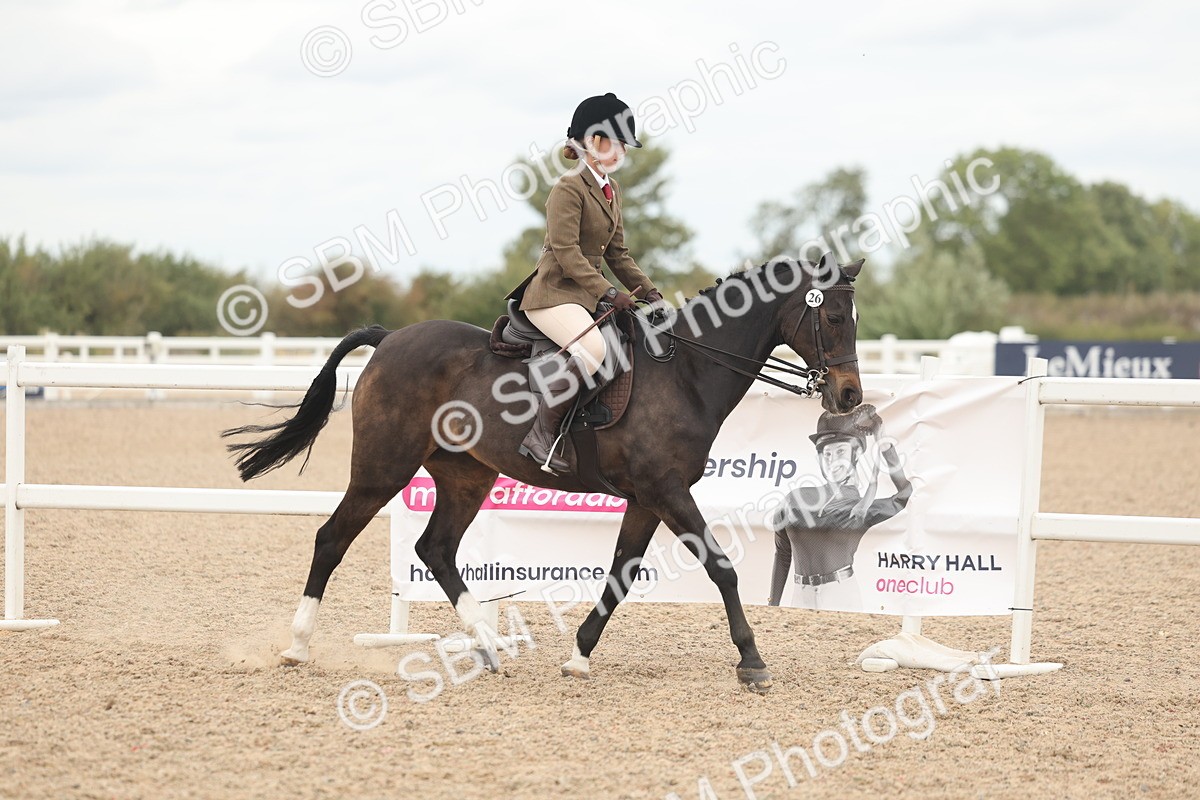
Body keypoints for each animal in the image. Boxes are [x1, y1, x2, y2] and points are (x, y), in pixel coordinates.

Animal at [222, 254, 865, 693]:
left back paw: (487, 648)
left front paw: (578, 654)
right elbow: (721, 567)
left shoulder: (646, 498)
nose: (848, 396)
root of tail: (390, 338)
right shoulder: (667, 491)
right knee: (332, 538)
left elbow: (620, 574)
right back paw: (297, 647)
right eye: (833, 317)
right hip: (384, 468)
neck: (685, 372)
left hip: (465, 476)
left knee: (435, 549)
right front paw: (752, 661)